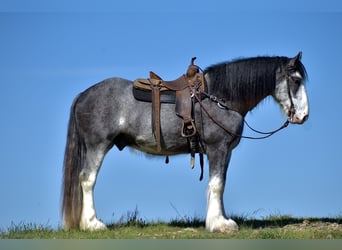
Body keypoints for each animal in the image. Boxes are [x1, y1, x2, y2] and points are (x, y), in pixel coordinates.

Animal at [62, 51, 310, 232]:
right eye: (296, 80)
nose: (304, 116)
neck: (220, 98)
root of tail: (83, 94)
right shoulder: (217, 148)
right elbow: (217, 184)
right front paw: (219, 224)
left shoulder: (225, 152)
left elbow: (219, 183)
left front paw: (220, 219)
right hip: (97, 146)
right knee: (87, 180)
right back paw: (93, 224)